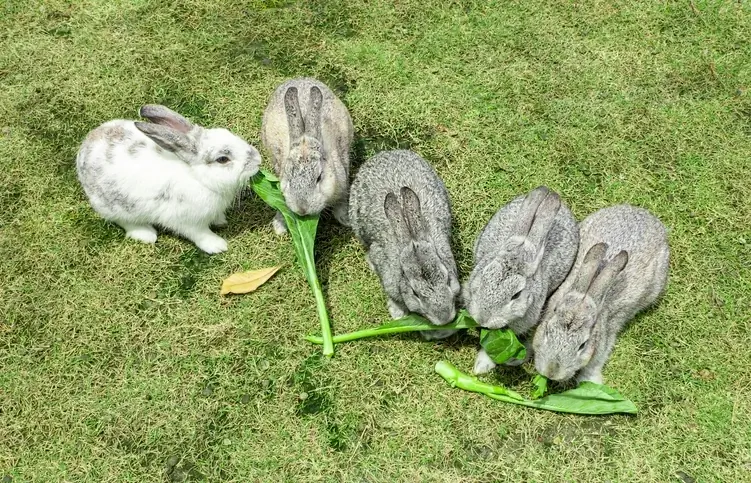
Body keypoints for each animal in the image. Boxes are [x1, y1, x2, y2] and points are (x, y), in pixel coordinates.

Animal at [74, 104, 262, 255]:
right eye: (222, 159)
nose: (258, 160)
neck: (198, 178)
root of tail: (84, 150)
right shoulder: (187, 222)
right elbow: (201, 235)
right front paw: (218, 246)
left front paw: (220, 220)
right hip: (115, 206)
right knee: (124, 221)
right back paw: (146, 234)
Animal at [262, 78, 356, 235]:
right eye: (288, 178)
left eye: (319, 178)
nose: (302, 209)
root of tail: (300, 78)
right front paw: (279, 226)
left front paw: (346, 219)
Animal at [350, 151, 462, 340]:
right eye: (415, 293)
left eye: (447, 280)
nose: (444, 318)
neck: (410, 238)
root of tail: (385, 153)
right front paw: (398, 313)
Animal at [532, 205, 672, 386]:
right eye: (548, 332)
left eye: (582, 346)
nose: (551, 372)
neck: (588, 291)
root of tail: (654, 221)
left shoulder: (605, 339)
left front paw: (591, 381)